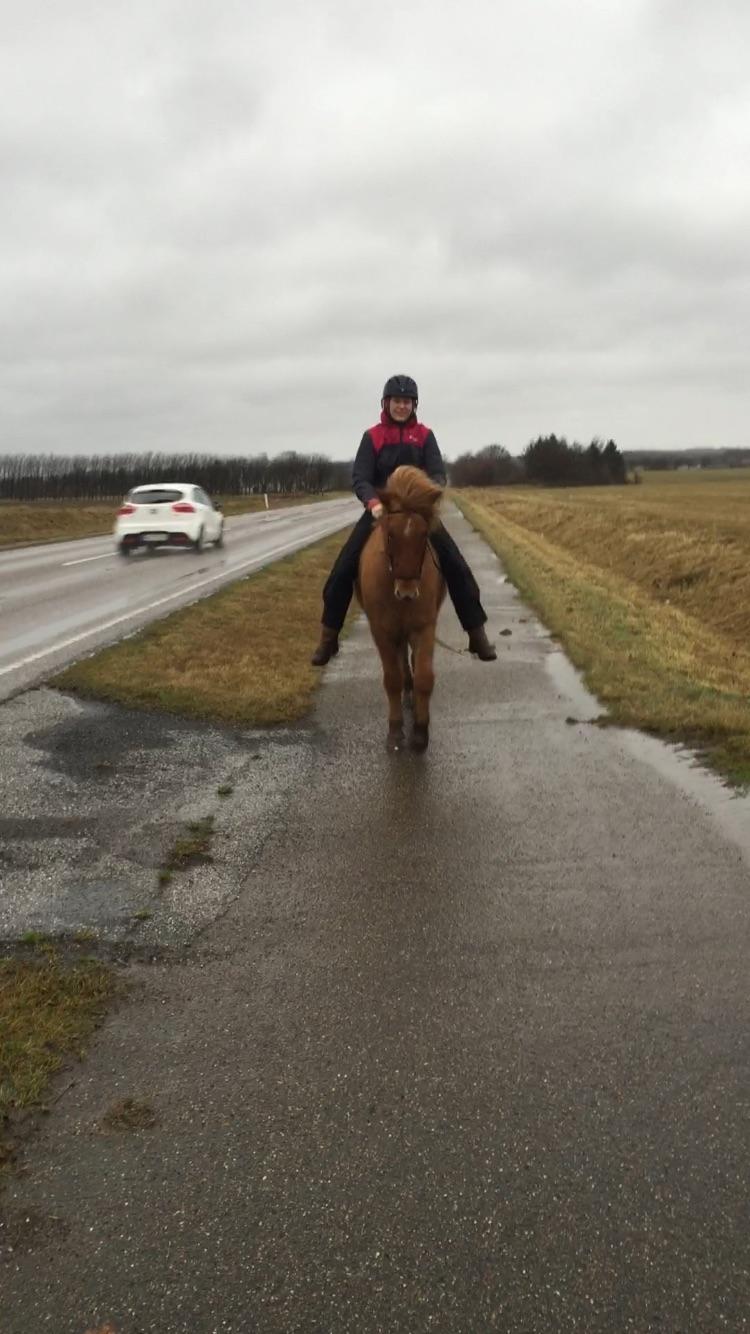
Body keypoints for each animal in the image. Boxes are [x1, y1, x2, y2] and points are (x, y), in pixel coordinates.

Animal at [354, 466, 443, 752]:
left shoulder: (424, 627)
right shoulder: (382, 631)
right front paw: (395, 731)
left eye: (424, 535)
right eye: (390, 534)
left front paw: (420, 731)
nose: (406, 593)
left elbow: (425, 677)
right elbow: (391, 679)